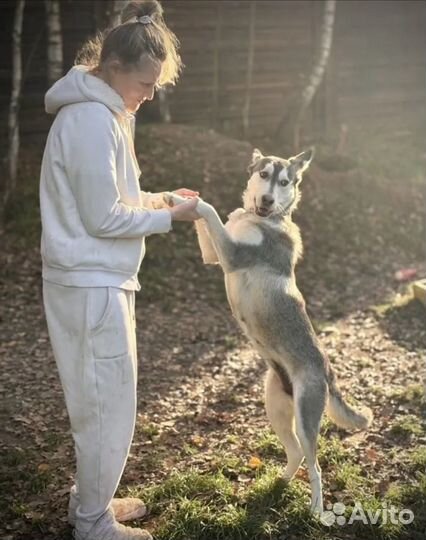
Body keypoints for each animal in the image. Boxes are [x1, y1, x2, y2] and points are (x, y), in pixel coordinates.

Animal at [163, 149, 370, 516]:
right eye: (263, 174)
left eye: (284, 181)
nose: (267, 200)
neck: (261, 219)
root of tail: (327, 371)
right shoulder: (214, 254)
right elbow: (205, 222)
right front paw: (179, 197)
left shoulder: (233, 254)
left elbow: (208, 210)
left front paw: (190, 201)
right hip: (275, 408)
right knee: (296, 453)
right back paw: (277, 484)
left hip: (305, 418)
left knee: (316, 466)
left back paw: (316, 511)